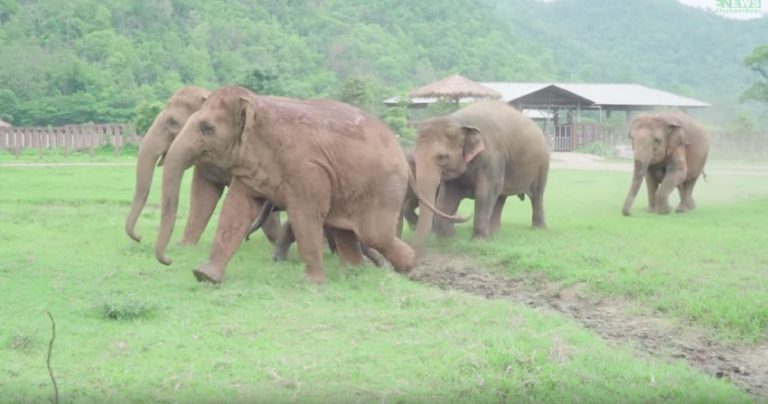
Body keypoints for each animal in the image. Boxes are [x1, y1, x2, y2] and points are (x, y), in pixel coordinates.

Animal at [153, 86, 461, 283]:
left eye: (206, 128)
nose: (168, 260)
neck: (259, 103)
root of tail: (400, 150)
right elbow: (236, 211)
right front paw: (205, 275)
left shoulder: (308, 169)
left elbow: (304, 215)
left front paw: (310, 282)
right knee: (344, 230)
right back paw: (355, 273)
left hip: (385, 187)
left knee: (374, 234)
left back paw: (409, 269)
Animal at [410, 100, 550, 247]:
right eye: (414, 156)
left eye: (442, 157)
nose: (411, 243)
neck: (458, 122)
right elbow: (449, 194)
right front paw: (448, 239)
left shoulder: (493, 156)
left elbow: (485, 193)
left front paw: (478, 242)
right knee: (500, 197)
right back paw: (494, 233)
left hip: (543, 162)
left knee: (537, 195)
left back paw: (538, 229)